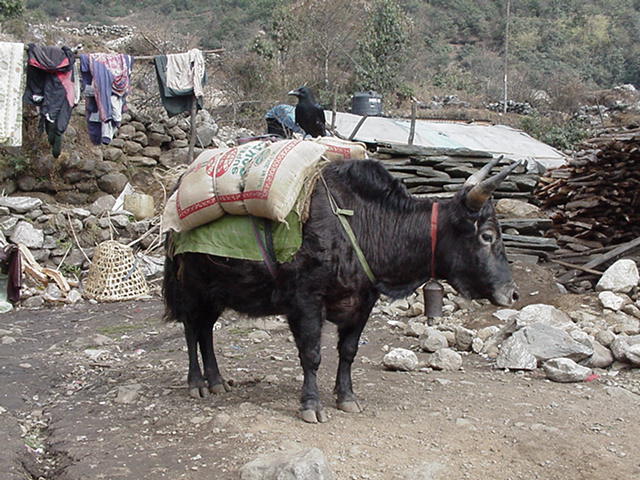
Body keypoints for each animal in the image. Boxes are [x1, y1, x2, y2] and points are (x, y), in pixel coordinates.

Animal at [163, 156, 520, 423]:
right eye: (487, 235)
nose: (512, 294)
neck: (366, 225)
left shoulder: (362, 303)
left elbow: (348, 351)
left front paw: (347, 398)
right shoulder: (306, 301)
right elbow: (312, 354)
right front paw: (311, 406)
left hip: (216, 294)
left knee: (206, 332)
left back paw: (217, 381)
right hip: (192, 289)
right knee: (192, 330)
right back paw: (197, 383)